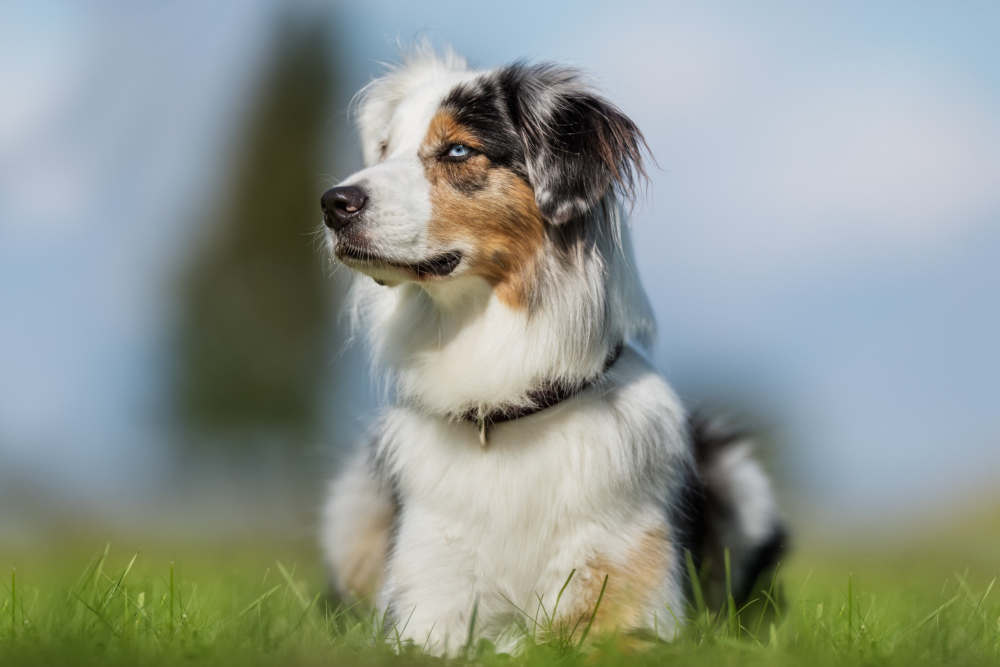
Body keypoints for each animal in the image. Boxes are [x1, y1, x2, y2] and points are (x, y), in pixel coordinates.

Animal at [316, 48, 784, 656]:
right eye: (384, 148)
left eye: (458, 150)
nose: (332, 203)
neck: (505, 403)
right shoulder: (427, 603)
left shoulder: (629, 598)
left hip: (741, 475)